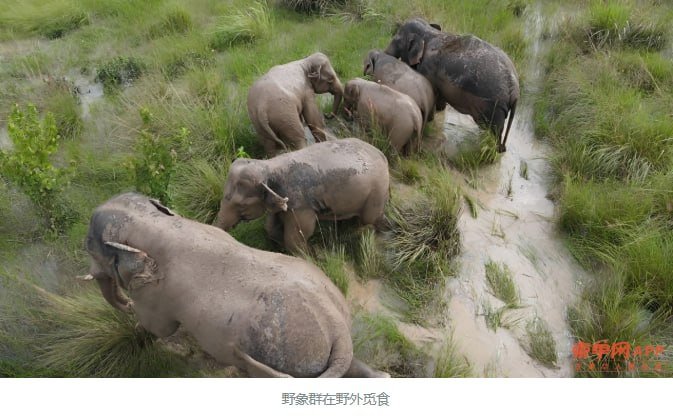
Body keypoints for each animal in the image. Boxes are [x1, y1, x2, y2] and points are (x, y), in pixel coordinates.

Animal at [84, 192, 389, 378]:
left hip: (285, 358)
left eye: (89, 246)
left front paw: (137, 327)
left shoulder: (157, 295)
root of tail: (337, 329)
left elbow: (158, 327)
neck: (154, 222)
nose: (125, 303)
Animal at [213, 138, 389, 253]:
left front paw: (306, 255)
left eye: (242, 205)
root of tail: (383, 155)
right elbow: (270, 225)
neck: (269, 166)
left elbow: (298, 235)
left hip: (377, 190)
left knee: (369, 219)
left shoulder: (301, 205)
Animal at [385, 18, 519, 153]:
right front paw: (440, 110)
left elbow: (432, 93)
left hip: (494, 108)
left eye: (396, 40)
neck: (429, 32)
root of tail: (515, 90)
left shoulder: (427, 70)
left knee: (492, 132)